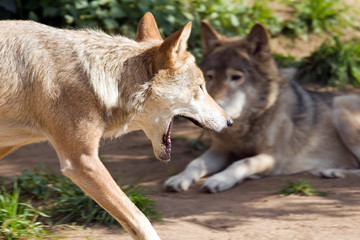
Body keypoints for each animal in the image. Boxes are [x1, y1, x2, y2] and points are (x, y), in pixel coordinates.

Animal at [165, 20, 360, 193]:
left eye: (236, 77)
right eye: (209, 78)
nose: (216, 109)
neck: (247, 126)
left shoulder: (273, 157)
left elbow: (243, 162)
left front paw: (220, 179)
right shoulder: (221, 149)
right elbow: (195, 163)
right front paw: (180, 178)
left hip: (341, 106)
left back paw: (331, 171)